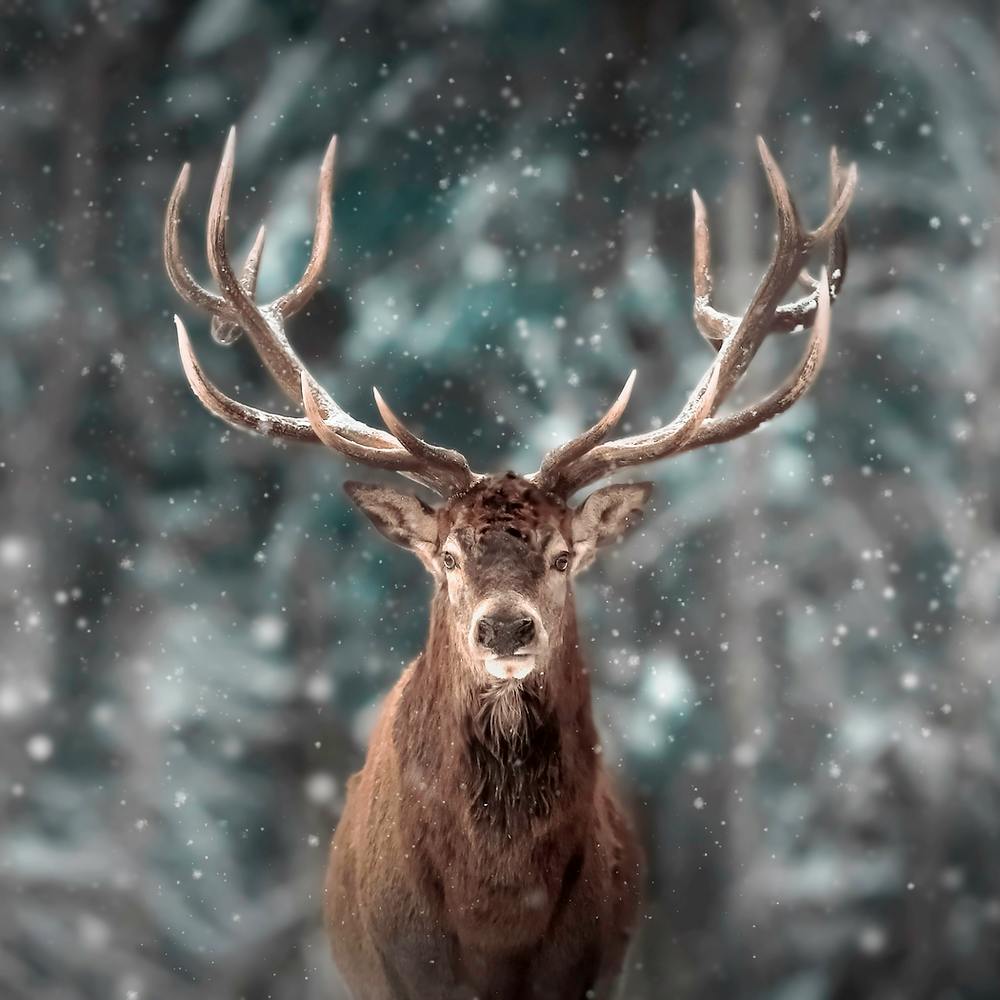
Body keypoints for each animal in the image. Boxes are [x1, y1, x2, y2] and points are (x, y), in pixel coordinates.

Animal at [164, 127, 856, 1000]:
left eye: (563, 557)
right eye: (448, 556)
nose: (504, 630)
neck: (496, 916)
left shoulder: (593, 970)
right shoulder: (401, 972)